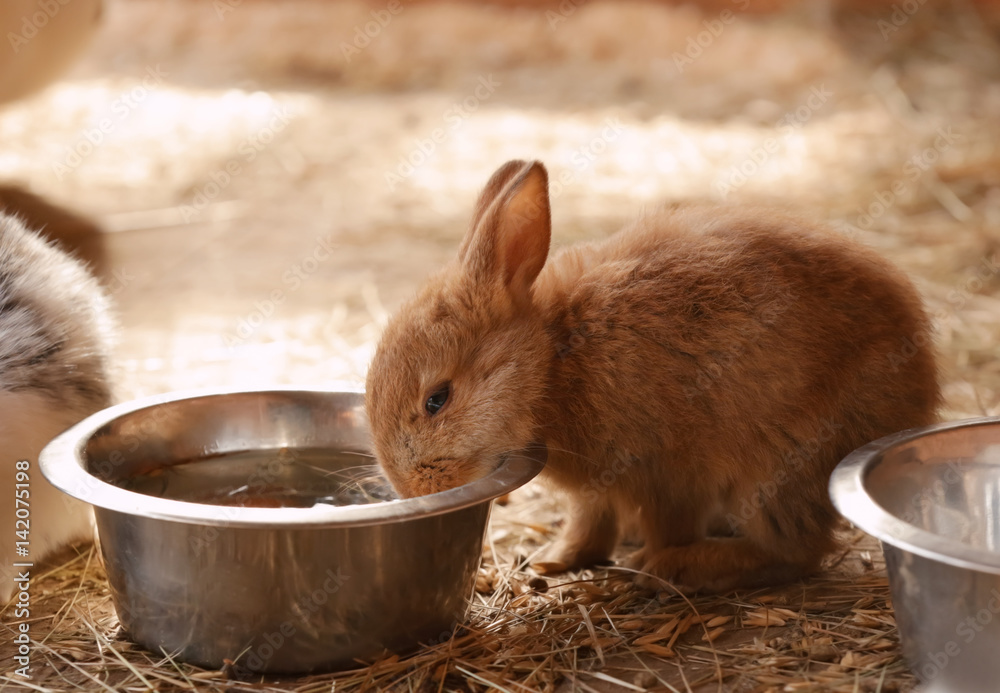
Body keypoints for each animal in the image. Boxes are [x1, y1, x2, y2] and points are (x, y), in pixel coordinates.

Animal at [366, 161, 936, 588]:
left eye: (437, 399)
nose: (412, 489)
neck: (553, 360)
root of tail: (920, 393)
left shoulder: (666, 470)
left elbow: (666, 523)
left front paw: (652, 564)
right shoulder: (599, 488)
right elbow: (590, 521)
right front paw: (556, 558)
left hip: (778, 468)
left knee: (795, 552)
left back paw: (682, 567)